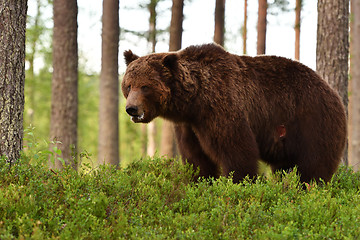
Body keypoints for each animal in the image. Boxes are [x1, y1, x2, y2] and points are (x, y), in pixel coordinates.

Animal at [122, 43, 348, 183]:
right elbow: (197, 159)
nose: (131, 108)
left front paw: (239, 183)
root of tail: (333, 91)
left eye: (145, 86)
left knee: (313, 166)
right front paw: (200, 182)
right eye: (128, 85)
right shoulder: (189, 126)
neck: (195, 101)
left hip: (313, 122)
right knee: (286, 168)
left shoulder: (222, 110)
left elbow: (237, 152)